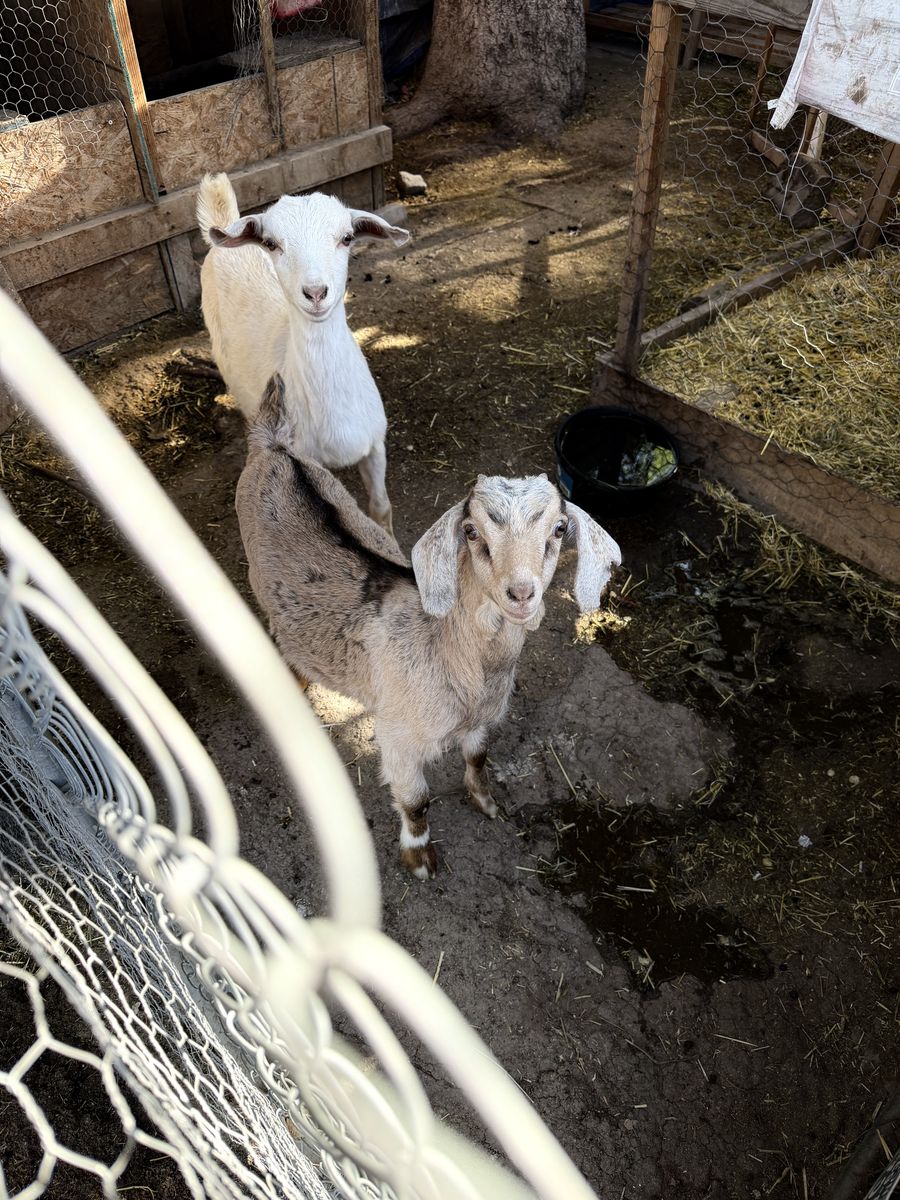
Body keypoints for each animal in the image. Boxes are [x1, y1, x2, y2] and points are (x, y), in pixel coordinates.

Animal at [197, 173, 409, 533]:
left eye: (347, 238)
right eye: (271, 243)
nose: (315, 292)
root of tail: (224, 224)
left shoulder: (375, 443)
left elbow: (381, 507)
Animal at [237, 376, 622, 878]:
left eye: (559, 529)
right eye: (472, 532)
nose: (522, 593)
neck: (455, 658)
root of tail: (275, 444)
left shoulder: (481, 721)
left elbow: (478, 756)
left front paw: (485, 801)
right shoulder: (398, 736)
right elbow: (416, 800)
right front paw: (419, 858)